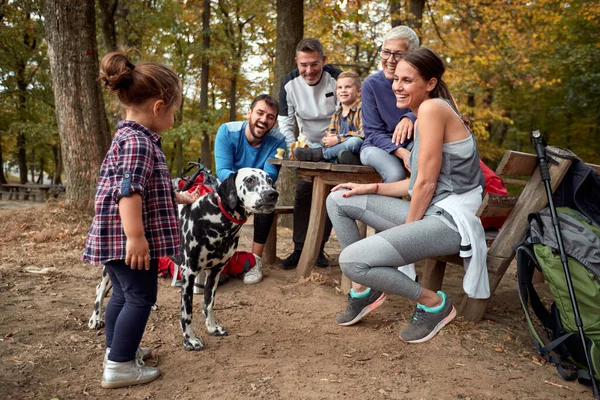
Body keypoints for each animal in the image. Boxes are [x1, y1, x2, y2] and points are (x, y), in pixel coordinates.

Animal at [178, 168, 278, 350]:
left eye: (269, 180)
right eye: (250, 180)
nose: (272, 194)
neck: (216, 219)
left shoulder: (214, 273)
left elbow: (209, 304)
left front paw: (212, 327)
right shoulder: (188, 275)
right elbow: (187, 313)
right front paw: (190, 340)